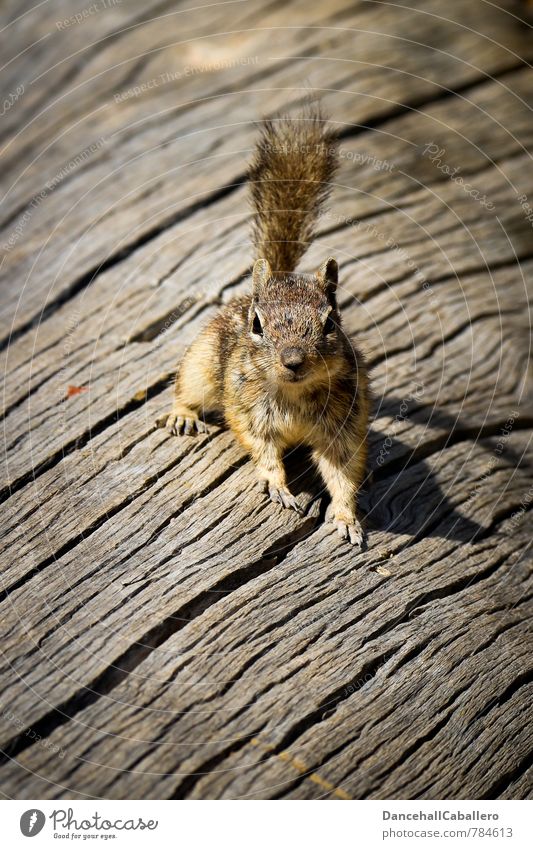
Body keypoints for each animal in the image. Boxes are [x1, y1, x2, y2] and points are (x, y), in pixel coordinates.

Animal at [164, 107, 368, 544]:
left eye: (330, 323)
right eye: (257, 325)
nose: (293, 361)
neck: (293, 393)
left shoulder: (344, 424)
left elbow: (343, 471)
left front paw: (346, 517)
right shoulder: (248, 412)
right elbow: (262, 450)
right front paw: (277, 485)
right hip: (201, 365)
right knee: (186, 389)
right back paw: (182, 415)